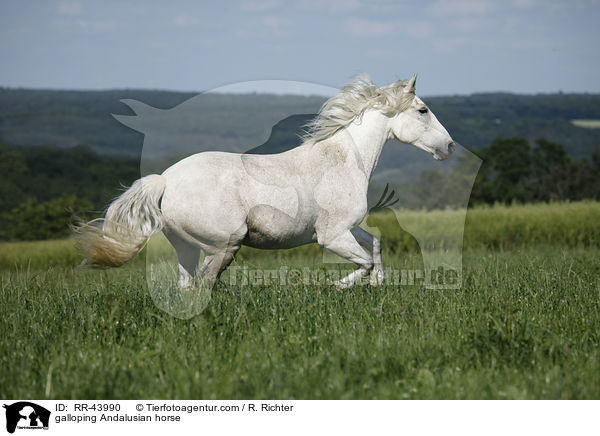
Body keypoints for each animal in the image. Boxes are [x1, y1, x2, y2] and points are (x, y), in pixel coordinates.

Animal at [75, 75, 458, 290]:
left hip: (186, 246)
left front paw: (377, 285)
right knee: (204, 284)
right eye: (423, 110)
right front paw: (337, 286)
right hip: (224, 246)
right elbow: (362, 262)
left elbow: (375, 247)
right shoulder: (332, 235)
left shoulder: (348, 228)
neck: (343, 160)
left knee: (187, 285)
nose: (450, 146)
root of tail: (165, 181)